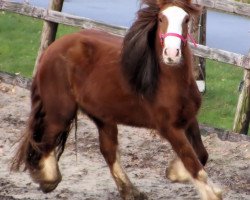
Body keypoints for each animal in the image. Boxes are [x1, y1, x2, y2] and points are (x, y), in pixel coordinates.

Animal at [11, 0, 222, 199]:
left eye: (186, 19)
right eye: (161, 18)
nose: (171, 53)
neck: (169, 80)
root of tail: (50, 50)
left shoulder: (188, 119)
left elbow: (201, 154)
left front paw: (174, 172)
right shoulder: (169, 128)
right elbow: (193, 163)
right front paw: (211, 192)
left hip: (102, 116)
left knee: (108, 150)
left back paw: (130, 191)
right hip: (61, 110)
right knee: (47, 139)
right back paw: (48, 180)